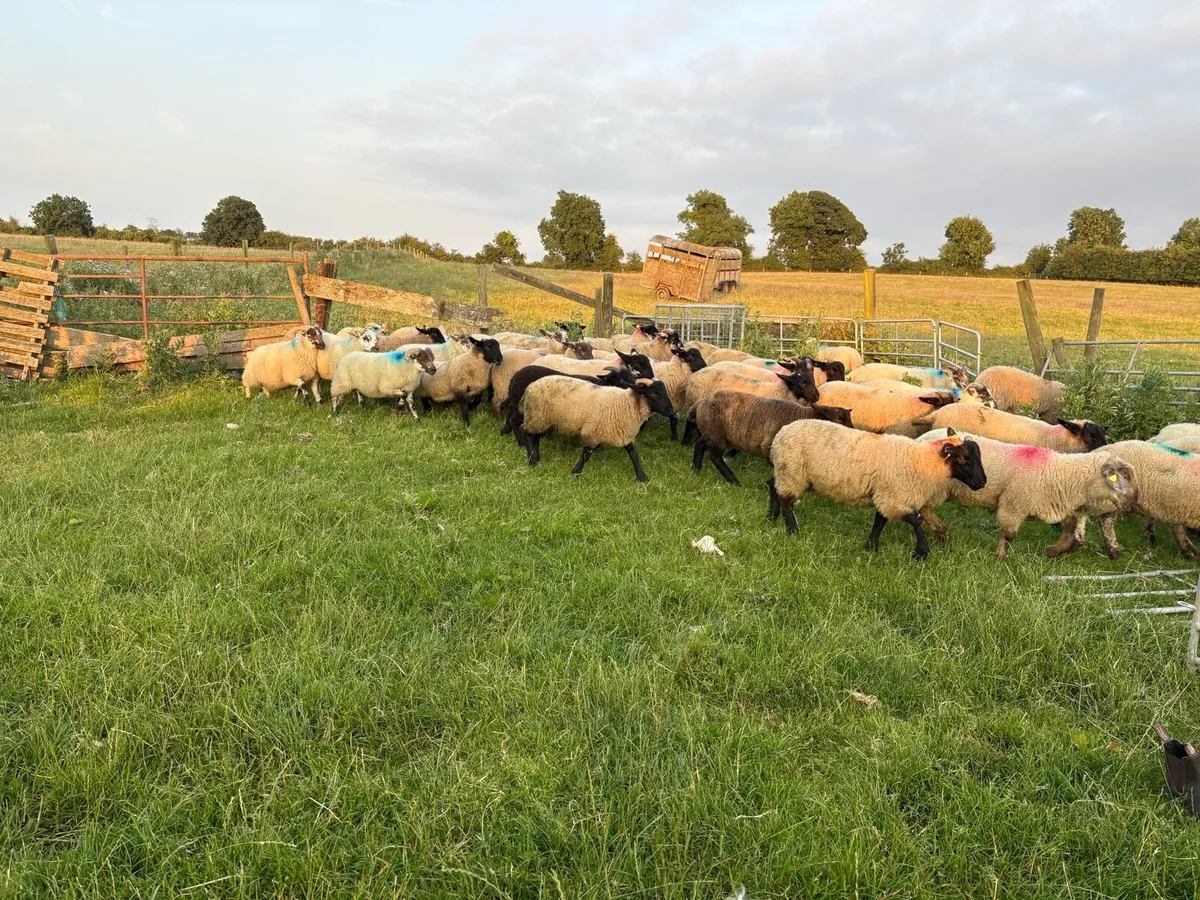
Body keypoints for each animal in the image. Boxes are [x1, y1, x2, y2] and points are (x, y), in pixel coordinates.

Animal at [516, 375, 675, 482]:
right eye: (653, 393)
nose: (670, 410)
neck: (625, 404)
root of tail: (529, 387)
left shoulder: (623, 432)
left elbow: (633, 454)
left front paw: (642, 477)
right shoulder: (592, 432)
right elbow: (587, 454)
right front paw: (576, 471)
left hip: (541, 419)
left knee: (535, 437)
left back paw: (535, 456)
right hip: (537, 415)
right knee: (526, 433)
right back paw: (532, 460)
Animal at [689, 391, 853, 484]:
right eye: (837, 419)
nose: (852, 433)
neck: (800, 417)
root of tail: (701, 402)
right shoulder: (768, 445)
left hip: (711, 431)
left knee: (700, 444)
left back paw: (696, 469)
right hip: (716, 434)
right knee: (715, 457)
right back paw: (734, 481)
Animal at [768, 422, 987, 559]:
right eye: (962, 458)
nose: (982, 481)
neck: (922, 461)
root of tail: (781, 432)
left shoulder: (885, 496)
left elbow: (879, 522)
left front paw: (871, 547)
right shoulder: (894, 498)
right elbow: (917, 520)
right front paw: (921, 553)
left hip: (786, 473)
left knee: (772, 485)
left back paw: (771, 516)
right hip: (792, 472)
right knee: (787, 502)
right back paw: (792, 530)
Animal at [914, 429, 1137, 559]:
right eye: (1120, 478)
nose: (1132, 503)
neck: (1060, 474)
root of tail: (921, 438)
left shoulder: (1057, 504)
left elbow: (1073, 532)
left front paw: (1055, 550)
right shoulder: (1014, 504)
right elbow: (1009, 534)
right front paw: (1000, 557)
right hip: (936, 487)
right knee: (925, 508)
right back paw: (941, 531)